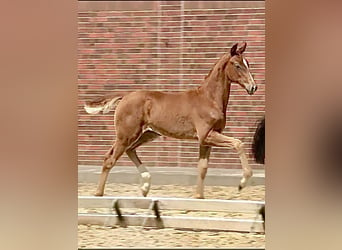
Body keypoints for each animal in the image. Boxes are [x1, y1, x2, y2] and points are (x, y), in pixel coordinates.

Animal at [85, 42, 256, 198]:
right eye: (237, 65)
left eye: (247, 63)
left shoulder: (206, 139)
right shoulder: (206, 135)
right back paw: (99, 193)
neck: (209, 99)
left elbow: (202, 168)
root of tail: (125, 96)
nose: (253, 87)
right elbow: (238, 143)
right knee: (110, 158)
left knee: (130, 150)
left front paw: (198, 196)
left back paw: (145, 186)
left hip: (147, 134)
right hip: (126, 135)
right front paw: (242, 183)